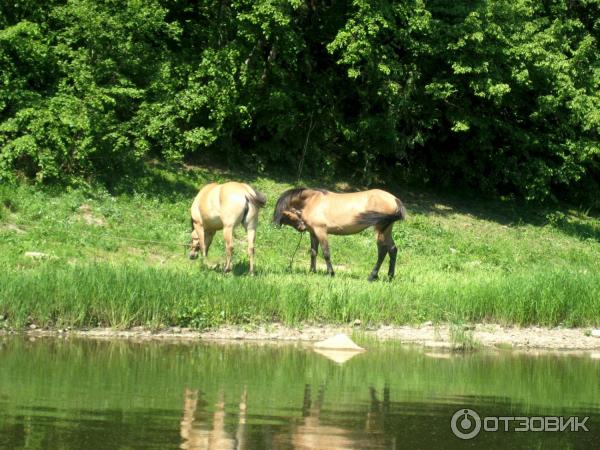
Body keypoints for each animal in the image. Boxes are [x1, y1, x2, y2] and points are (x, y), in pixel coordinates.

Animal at [274, 187, 406, 280]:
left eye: (286, 215)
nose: (301, 227)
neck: (312, 201)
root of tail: (394, 199)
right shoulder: (313, 233)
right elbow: (313, 252)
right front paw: (312, 271)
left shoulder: (321, 231)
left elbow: (326, 253)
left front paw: (331, 273)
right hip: (387, 230)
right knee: (392, 249)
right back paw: (389, 277)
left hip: (380, 230)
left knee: (382, 251)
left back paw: (372, 276)